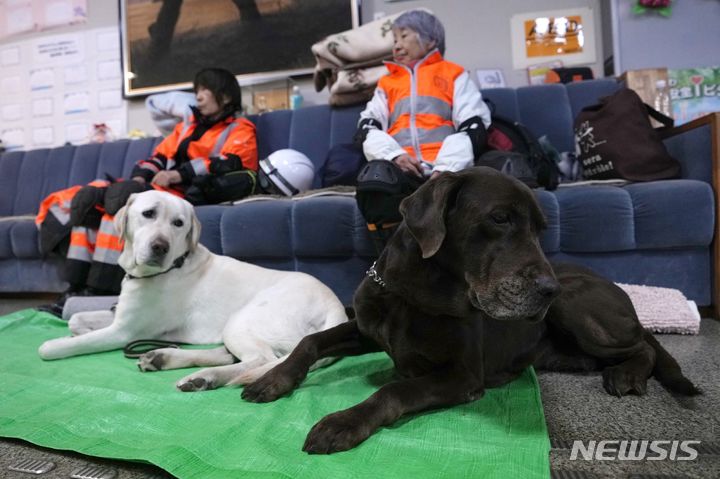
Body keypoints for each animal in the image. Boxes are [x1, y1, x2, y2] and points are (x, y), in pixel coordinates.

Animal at [39, 189, 348, 392]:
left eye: (179, 223)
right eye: (148, 214)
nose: (160, 247)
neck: (173, 265)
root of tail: (336, 307)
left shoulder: (123, 332)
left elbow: (53, 348)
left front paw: (58, 343)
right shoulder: (122, 316)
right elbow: (77, 318)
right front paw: (77, 328)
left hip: (243, 320)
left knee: (262, 360)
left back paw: (205, 376)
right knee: (232, 354)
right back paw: (168, 360)